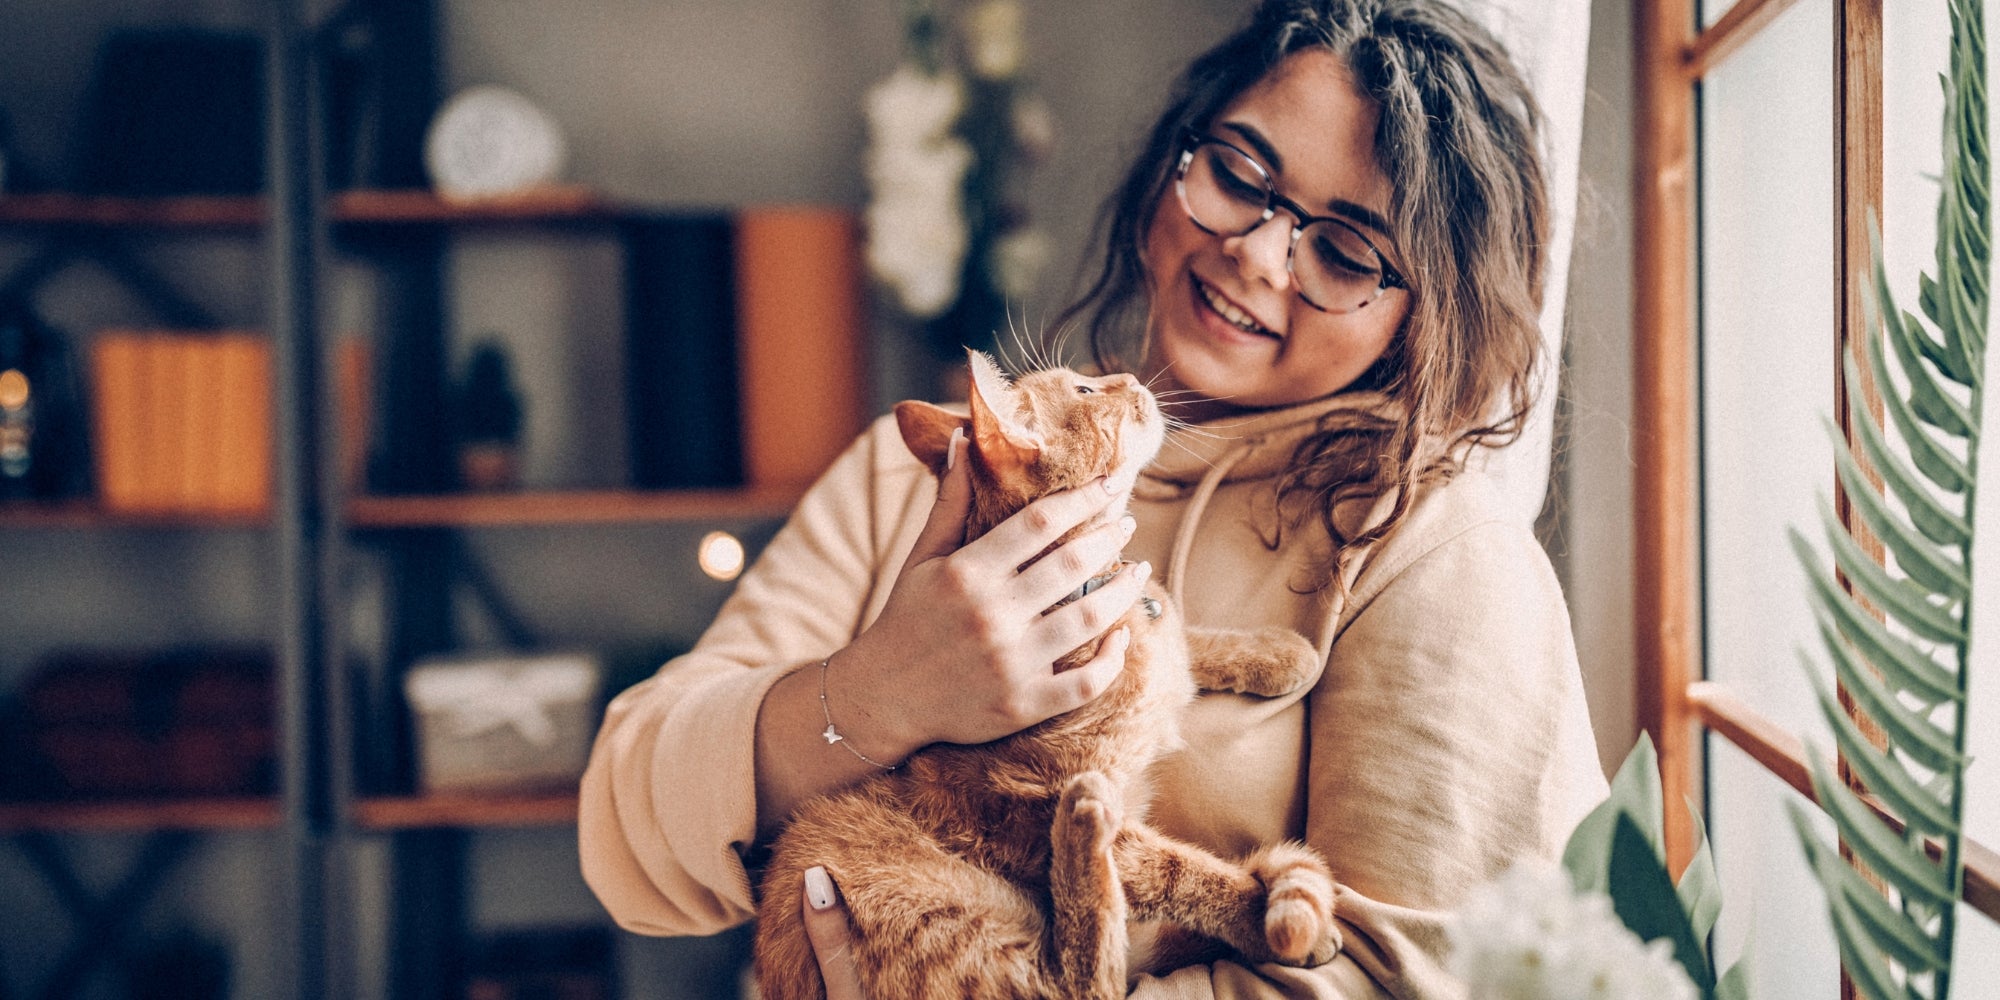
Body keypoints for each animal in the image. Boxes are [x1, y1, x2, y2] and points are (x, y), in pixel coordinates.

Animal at [756, 354, 1336, 1000]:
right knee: (1080, 982)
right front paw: (1258, 916)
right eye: (1085, 389)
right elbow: (1178, 873)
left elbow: (1189, 642)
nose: (1130, 379)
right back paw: (1084, 827)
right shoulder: (1024, 808)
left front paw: (1278, 653)